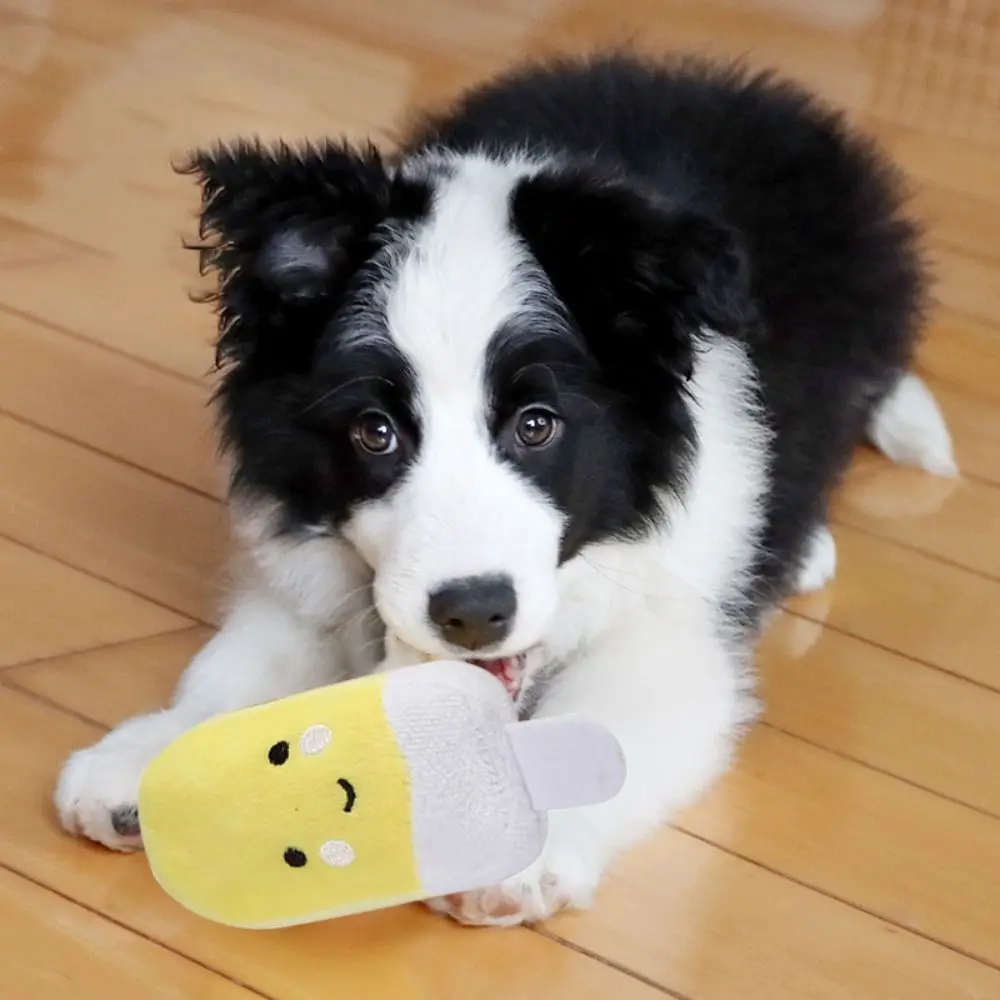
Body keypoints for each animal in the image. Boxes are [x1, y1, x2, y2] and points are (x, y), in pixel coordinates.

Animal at [56, 53, 957, 927]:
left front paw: (525, 853)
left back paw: (803, 548)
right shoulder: (307, 578)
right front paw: (151, 760)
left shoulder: (672, 639)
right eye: (375, 431)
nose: (473, 613)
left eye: (536, 425)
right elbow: (234, 673)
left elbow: (604, 734)